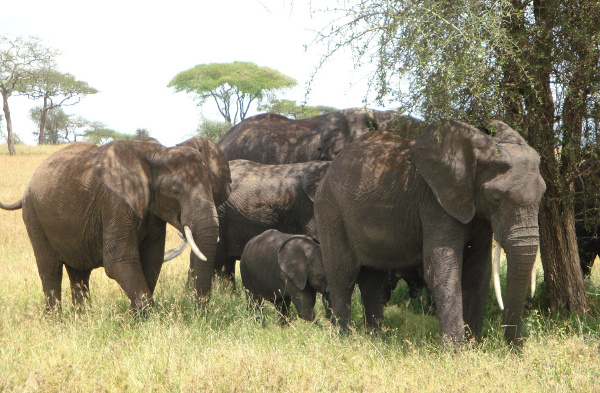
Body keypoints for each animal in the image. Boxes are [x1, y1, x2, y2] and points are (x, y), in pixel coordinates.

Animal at [0, 138, 232, 312]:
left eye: (212, 188)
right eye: (175, 191)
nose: (199, 310)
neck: (158, 152)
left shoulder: (152, 210)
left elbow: (152, 259)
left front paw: (134, 316)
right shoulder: (114, 200)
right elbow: (119, 259)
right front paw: (146, 319)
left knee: (79, 273)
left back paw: (82, 319)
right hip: (33, 215)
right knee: (50, 269)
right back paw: (56, 321)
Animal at [314, 118, 548, 344]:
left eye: (543, 195)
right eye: (496, 198)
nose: (514, 349)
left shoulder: (477, 212)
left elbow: (478, 274)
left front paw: (474, 346)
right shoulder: (435, 204)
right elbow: (442, 269)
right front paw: (455, 350)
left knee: (372, 279)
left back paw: (376, 337)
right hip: (330, 210)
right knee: (343, 274)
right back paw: (345, 338)